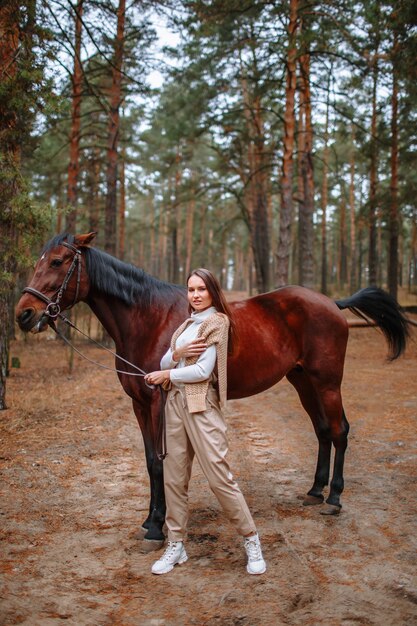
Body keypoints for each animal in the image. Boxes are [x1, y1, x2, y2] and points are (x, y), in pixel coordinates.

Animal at [14, 232, 408, 540]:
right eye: (40, 261)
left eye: (58, 261)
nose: (24, 314)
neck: (149, 319)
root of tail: (331, 303)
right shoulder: (139, 404)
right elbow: (149, 461)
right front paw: (149, 520)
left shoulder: (157, 402)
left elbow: (159, 462)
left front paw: (157, 526)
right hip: (302, 382)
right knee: (323, 430)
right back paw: (314, 491)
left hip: (327, 382)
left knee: (339, 430)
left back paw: (335, 499)